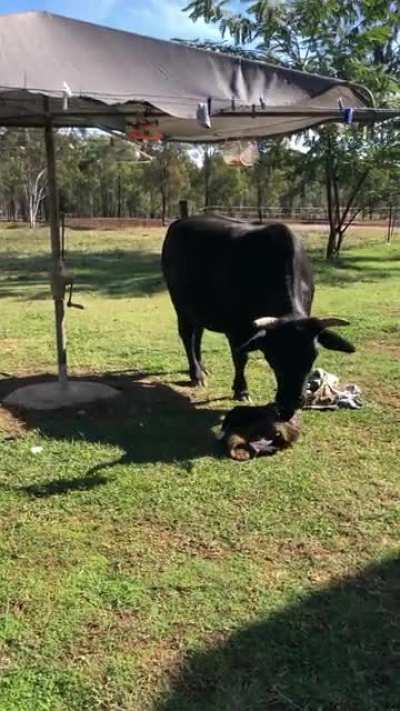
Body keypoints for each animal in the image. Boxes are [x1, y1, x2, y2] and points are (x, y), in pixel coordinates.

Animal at [161, 215, 355, 419]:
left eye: (312, 356)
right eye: (274, 357)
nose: (290, 404)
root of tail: (179, 222)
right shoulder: (236, 330)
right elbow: (240, 358)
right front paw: (241, 390)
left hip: (198, 310)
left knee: (197, 336)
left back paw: (202, 368)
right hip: (180, 306)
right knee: (187, 336)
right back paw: (196, 374)